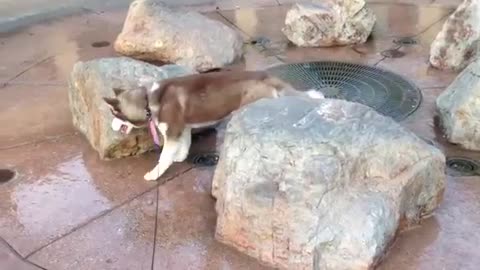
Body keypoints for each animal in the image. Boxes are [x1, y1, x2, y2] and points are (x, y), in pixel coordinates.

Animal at [103, 69, 324, 181]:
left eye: (114, 113)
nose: (111, 126)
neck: (148, 100)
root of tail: (267, 77)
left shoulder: (172, 130)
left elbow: (164, 157)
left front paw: (154, 174)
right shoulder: (183, 127)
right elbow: (184, 145)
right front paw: (179, 157)